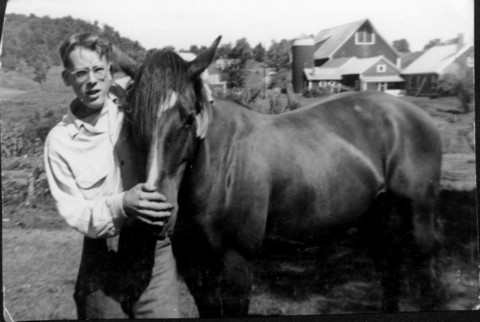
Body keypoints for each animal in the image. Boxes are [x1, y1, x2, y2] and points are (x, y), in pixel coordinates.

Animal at [124, 36, 446, 316]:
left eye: (190, 118)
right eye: (132, 117)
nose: (157, 212)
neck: (219, 168)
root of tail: (415, 115)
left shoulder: (237, 262)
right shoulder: (195, 267)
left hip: (417, 217)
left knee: (426, 276)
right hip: (377, 218)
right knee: (390, 272)